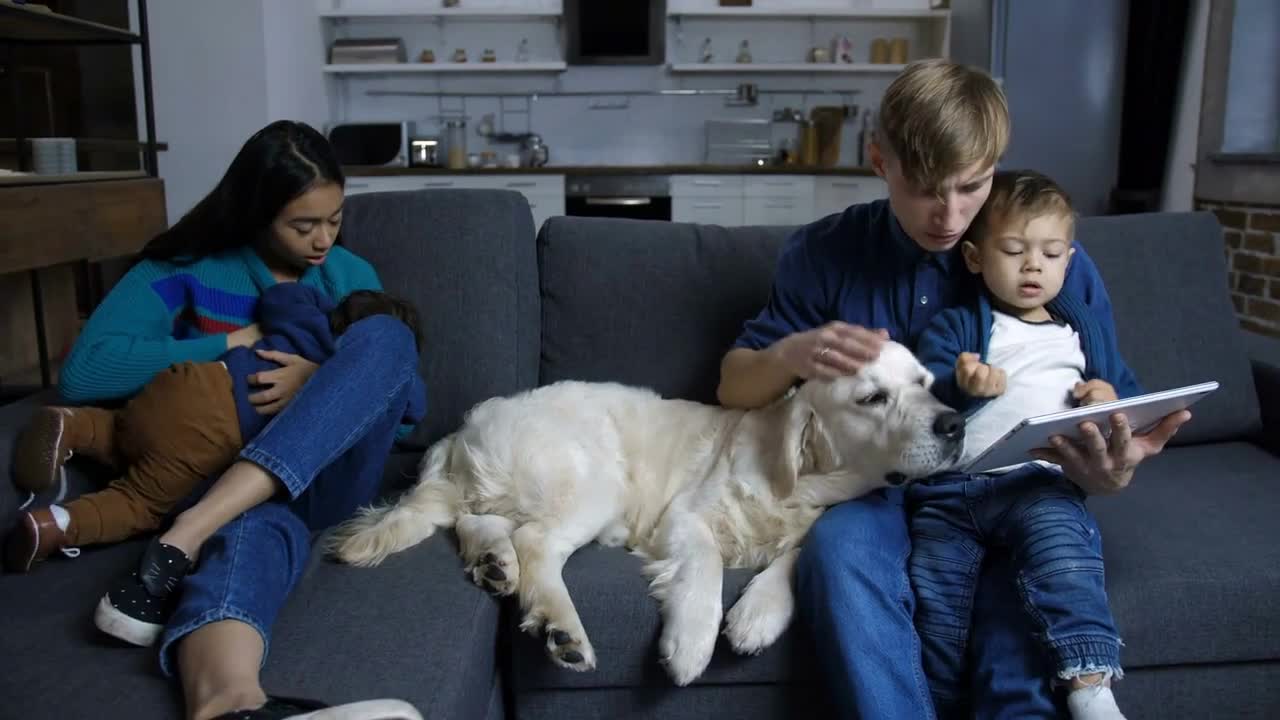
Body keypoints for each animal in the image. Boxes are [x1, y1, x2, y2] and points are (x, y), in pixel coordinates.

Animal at [330, 340, 962, 681]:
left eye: (926, 382)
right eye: (872, 398)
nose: (954, 423)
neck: (804, 482)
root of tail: (463, 429)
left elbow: (797, 555)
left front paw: (758, 613)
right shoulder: (686, 517)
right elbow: (705, 566)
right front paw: (691, 644)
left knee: (480, 522)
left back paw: (495, 564)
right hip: (595, 481)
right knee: (534, 543)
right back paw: (562, 628)